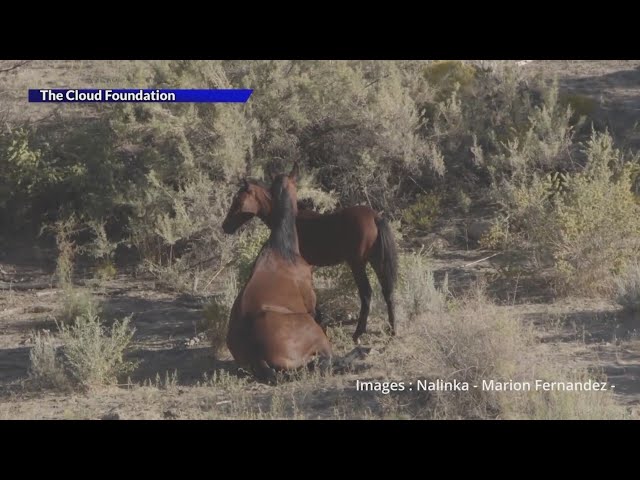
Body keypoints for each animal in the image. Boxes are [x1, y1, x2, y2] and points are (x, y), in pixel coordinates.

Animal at [222, 174, 398, 344]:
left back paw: (358, 334)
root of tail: (375, 217)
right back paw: (392, 331)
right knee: (387, 291)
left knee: (367, 293)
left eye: (238, 201)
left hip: (357, 264)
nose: (225, 226)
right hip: (376, 261)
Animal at [225, 163, 332, 384]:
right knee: (326, 361)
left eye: (237, 200)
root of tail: (257, 355)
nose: (226, 226)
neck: (282, 248)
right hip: (316, 335)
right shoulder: (311, 304)